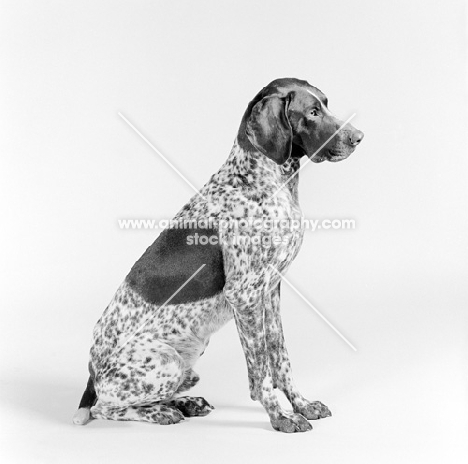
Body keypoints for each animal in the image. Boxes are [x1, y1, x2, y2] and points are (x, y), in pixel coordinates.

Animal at [73, 77, 364, 432]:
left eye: (326, 104)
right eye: (312, 111)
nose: (359, 137)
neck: (263, 182)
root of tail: (91, 376)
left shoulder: (271, 291)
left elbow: (280, 359)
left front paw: (302, 404)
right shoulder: (245, 295)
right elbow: (261, 373)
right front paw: (280, 416)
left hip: (187, 362)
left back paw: (185, 404)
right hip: (165, 362)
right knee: (105, 408)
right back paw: (159, 412)